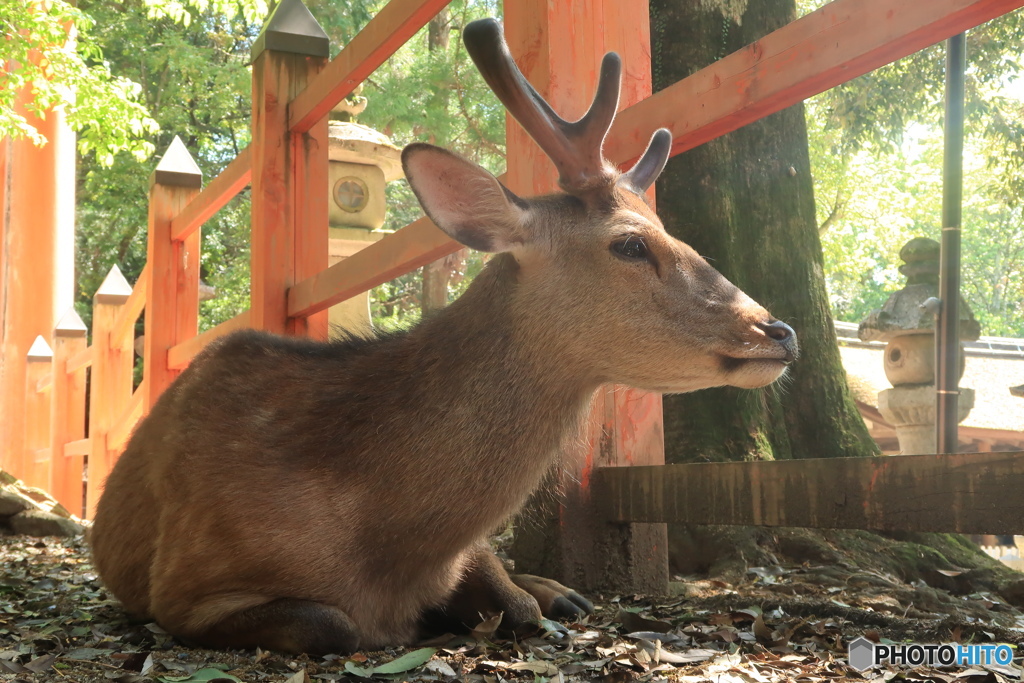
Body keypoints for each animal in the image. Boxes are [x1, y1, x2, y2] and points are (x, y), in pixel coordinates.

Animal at [90, 17, 798, 655]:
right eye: (629, 244)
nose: (779, 329)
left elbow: (507, 602)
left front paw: (518, 600)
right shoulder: (184, 583)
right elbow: (330, 624)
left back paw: (559, 590)